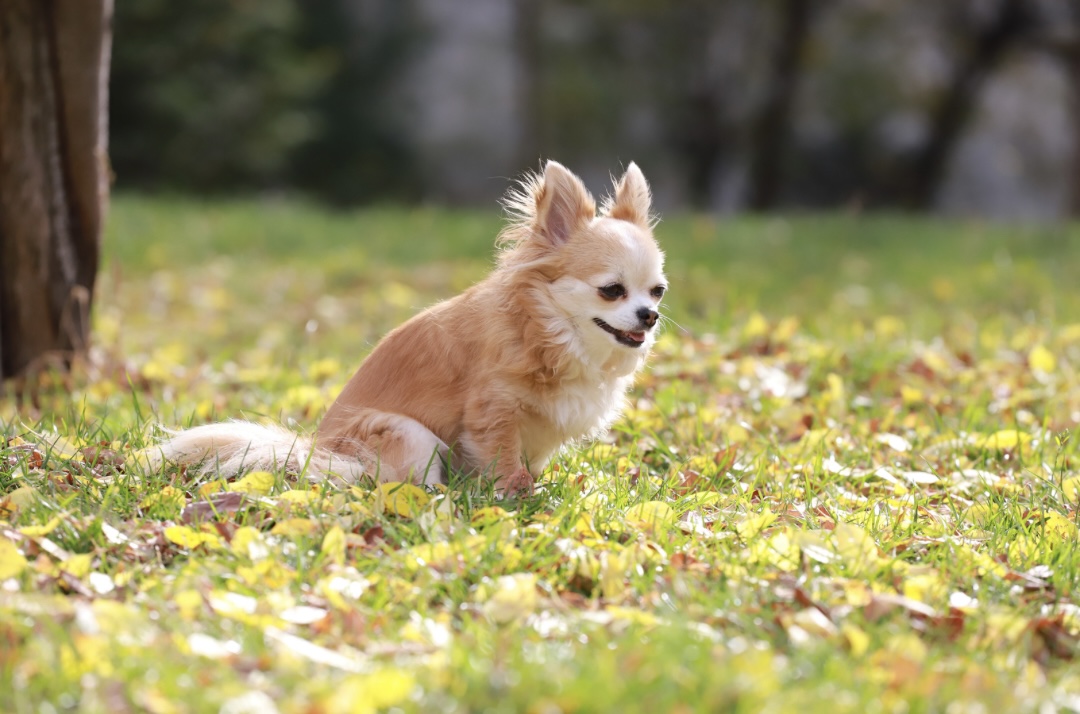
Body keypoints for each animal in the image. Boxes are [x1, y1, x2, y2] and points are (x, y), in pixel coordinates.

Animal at [150, 161, 667, 495]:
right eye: (612, 290)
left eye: (657, 291)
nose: (650, 315)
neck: (554, 333)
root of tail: (318, 450)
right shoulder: (493, 413)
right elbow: (505, 463)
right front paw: (514, 499)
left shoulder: (538, 434)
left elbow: (529, 463)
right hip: (408, 433)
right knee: (394, 484)